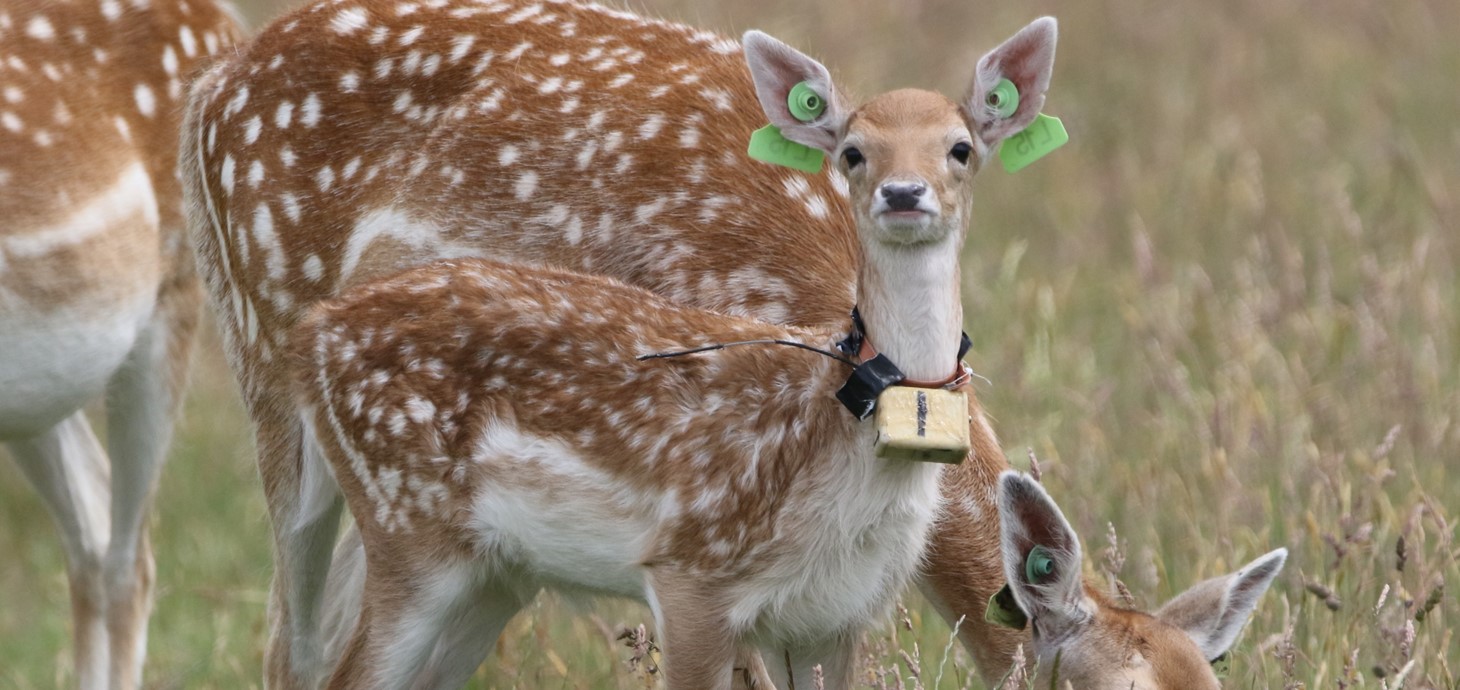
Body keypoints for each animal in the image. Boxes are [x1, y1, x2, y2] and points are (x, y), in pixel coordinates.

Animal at [185, 0, 1290, 682]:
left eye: (1215, 678)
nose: (905, 193)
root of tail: (213, 84)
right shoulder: (713, 520)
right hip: (269, 364)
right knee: (289, 643)